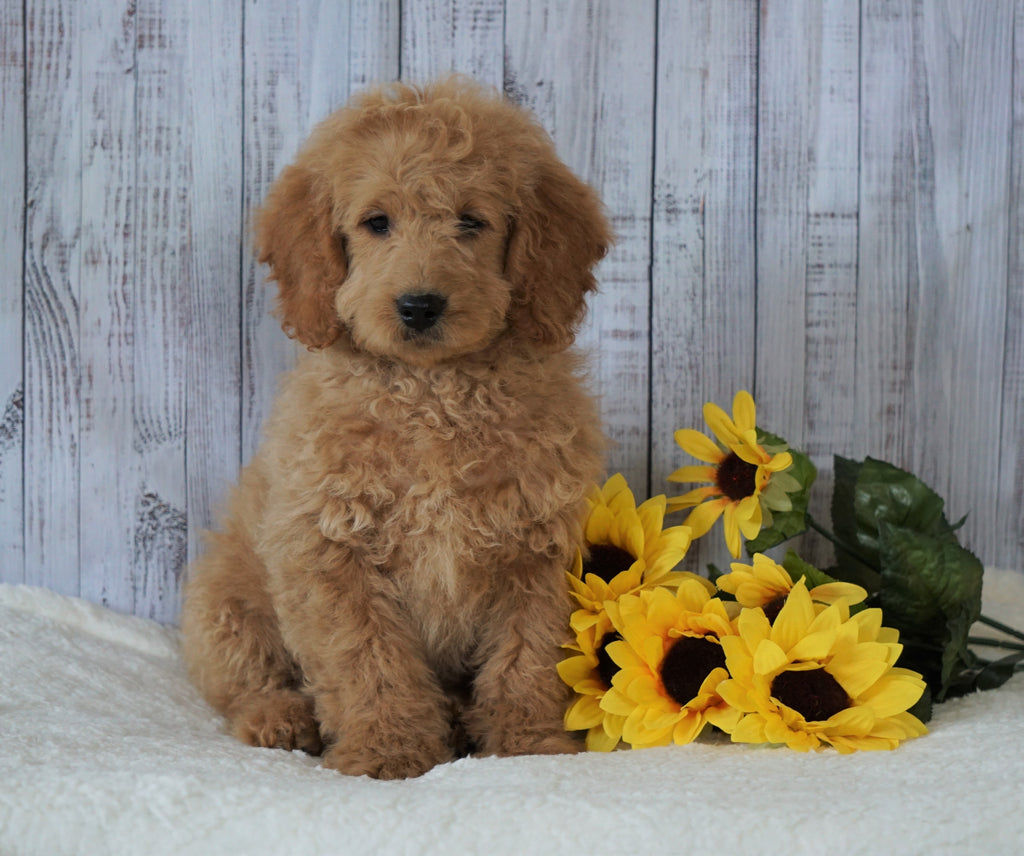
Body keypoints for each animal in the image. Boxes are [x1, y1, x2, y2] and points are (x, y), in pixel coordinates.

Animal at [179, 76, 606, 778]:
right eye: (376, 223)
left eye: (471, 222)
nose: (419, 305)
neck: (433, 392)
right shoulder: (329, 551)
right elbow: (368, 662)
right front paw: (389, 750)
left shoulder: (535, 549)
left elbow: (528, 654)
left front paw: (526, 744)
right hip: (224, 600)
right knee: (243, 677)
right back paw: (279, 718)